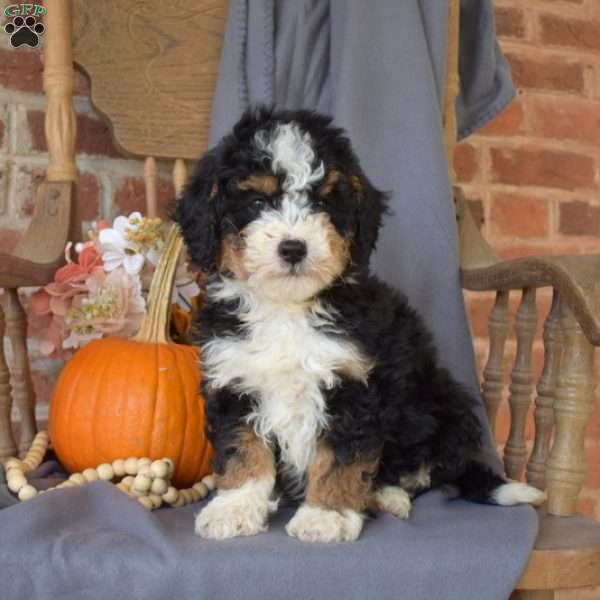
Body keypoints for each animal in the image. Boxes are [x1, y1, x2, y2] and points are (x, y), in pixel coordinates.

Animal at [172, 108, 544, 544]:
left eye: (322, 202)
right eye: (258, 201)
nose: (294, 248)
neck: (288, 308)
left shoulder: (355, 382)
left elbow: (340, 456)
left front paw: (326, 515)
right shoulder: (235, 379)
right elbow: (242, 450)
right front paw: (234, 508)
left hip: (442, 404)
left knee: (422, 470)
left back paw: (386, 496)